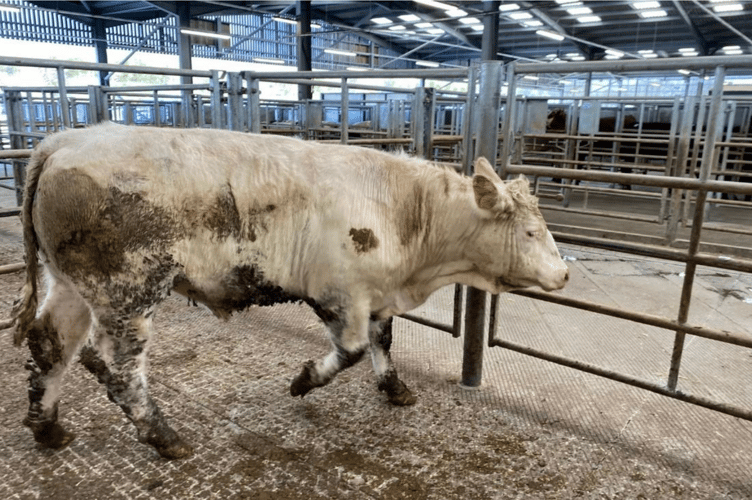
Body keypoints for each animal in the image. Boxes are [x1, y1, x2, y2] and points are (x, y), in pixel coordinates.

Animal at [6, 123, 569, 459]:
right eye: (530, 232)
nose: (565, 275)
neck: (405, 213)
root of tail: (64, 142)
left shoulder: (379, 292)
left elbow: (383, 342)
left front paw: (395, 389)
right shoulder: (339, 292)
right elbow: (352, 348)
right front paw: (303, 380)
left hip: (71, 285)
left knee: (51, 345)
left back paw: (48, 428)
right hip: (128, 291)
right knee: (117, 367)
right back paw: (165, 437)